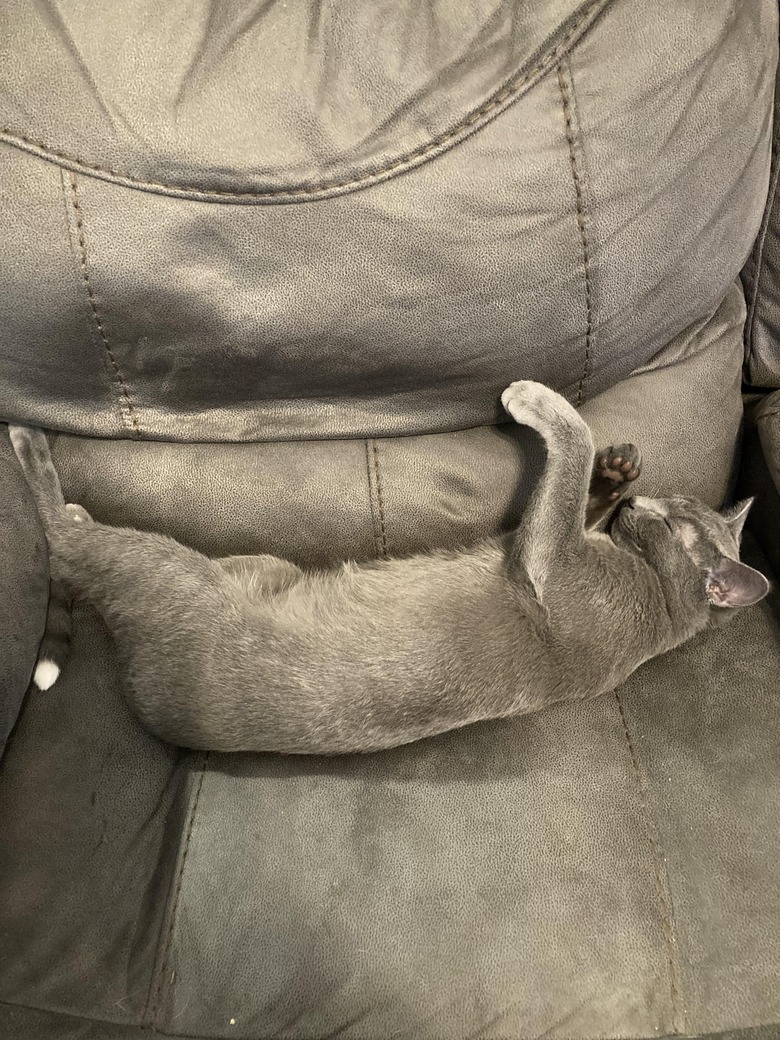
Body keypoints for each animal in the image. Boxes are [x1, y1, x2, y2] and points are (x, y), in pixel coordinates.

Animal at [9, 382, 773, 757]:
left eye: (676, 523)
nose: (647, 502)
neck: (663, 603)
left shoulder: (545, 562)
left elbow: (572, 445)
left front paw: (534, 400)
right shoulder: (537, 539)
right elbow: (575, 486)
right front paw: (618, 471)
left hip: (159, 567)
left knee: (64, 536)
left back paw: (30, 448)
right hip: (252, 562)